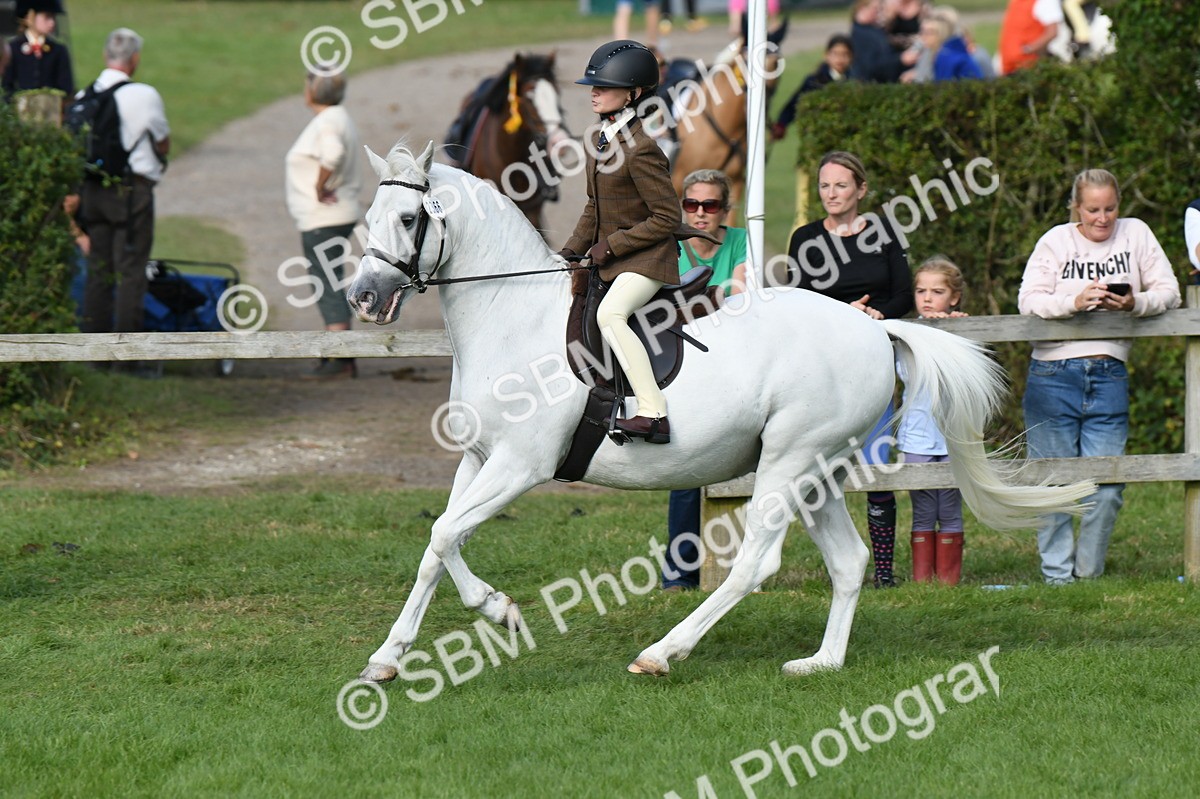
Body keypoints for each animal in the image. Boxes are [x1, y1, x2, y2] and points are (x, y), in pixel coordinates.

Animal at [346, 140, 1095, 683]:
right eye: (367, 222)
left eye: (409, 219)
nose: (362, 294)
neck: (513, 316)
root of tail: (874, 329)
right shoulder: (480, 458)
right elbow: (442, 541)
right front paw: (457, 626)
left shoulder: (520, 464)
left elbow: (444, 535)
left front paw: (413, 646)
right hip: (816, 470)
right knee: (849, 561)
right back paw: (821, 663)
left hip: (789, 461)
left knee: (754, 565)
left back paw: (662, 652)